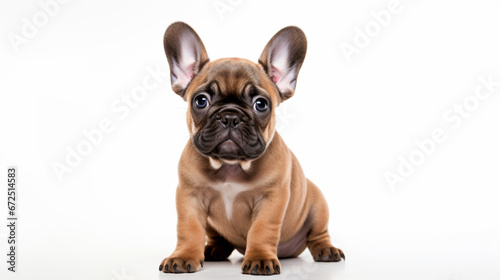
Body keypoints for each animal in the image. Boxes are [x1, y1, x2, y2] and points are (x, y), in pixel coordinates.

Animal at [160, 21, 344, 276]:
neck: (230, 166)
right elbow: (189, 228)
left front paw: (259, 258)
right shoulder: (190, 196)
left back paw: (327, 250)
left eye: (261, 104)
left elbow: (262, 229)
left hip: (318, 205)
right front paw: (184, 255)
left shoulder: (271, 199)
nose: (230, 116)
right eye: (201, 101)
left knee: (318, 234)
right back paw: (213, 250)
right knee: (218, 239)